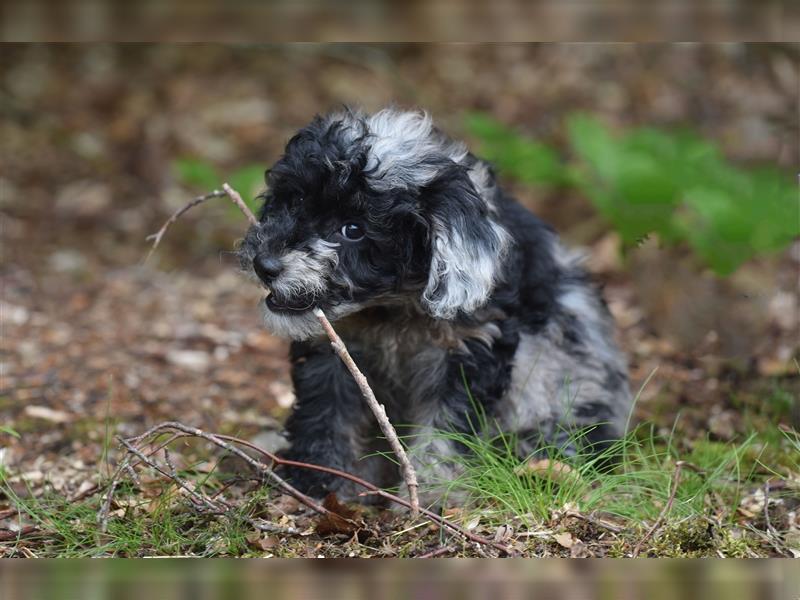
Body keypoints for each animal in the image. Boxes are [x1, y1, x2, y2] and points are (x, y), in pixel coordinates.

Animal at [238, 109, 632, 506]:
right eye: (295, 201)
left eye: (353, 229)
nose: (264, 264)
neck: (390, 308)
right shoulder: (331, 353)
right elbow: (326, 414)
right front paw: (319, 480)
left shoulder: (467, 351)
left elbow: (445, 430)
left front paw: (433, 493)